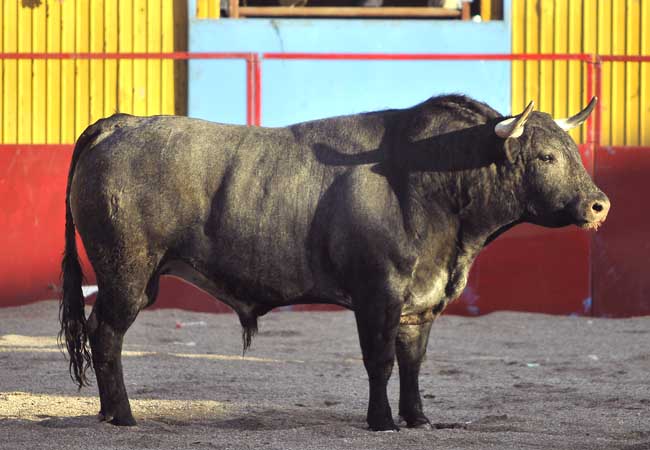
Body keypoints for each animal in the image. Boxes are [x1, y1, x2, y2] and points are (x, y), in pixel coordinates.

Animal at [59, 93, 608, 430]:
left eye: (573, 150)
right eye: (545, 157)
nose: (598, 205)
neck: (429, 182)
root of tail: (121, 124)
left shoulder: (419, 305)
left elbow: (412, 363)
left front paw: (418, 419)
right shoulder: (378, 295)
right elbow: (379, 360)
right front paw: (382, 422)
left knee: (99, 332)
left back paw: (110, 413)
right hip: (127, 274)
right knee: (106, 334)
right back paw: (123, 415)